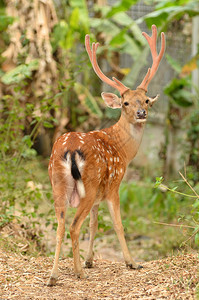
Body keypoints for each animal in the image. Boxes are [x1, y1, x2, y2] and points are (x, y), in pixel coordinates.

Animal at [47, 24, 166, 284]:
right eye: (125, 103)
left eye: (146, 100)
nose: (141, 113)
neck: (122, 149)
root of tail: (70, 150)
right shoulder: (113, 184)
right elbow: (118, 224)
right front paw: (132, 262)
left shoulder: (98, 195)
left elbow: (94, 223)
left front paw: (90, 260)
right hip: (89, 184)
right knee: (73, 226)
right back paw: (78, 272)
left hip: (58, 183)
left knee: (60, 225)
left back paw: (53, 276)